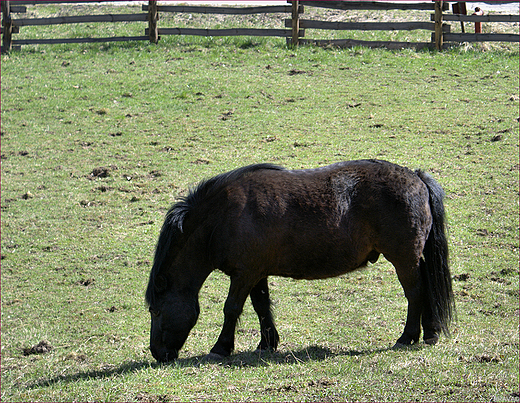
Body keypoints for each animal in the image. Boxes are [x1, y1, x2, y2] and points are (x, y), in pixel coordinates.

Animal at [146, 160, 456, 362]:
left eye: (156, 311)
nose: (158, 355)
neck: (223, 217)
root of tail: (417, 177)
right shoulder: (256, 273)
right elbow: (261, 307)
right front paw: (267, 343)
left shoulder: (244, 274)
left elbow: (231, 308)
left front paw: (221, 348)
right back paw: (430, 333)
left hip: (404, 260)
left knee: (416, 293)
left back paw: (407, 337)